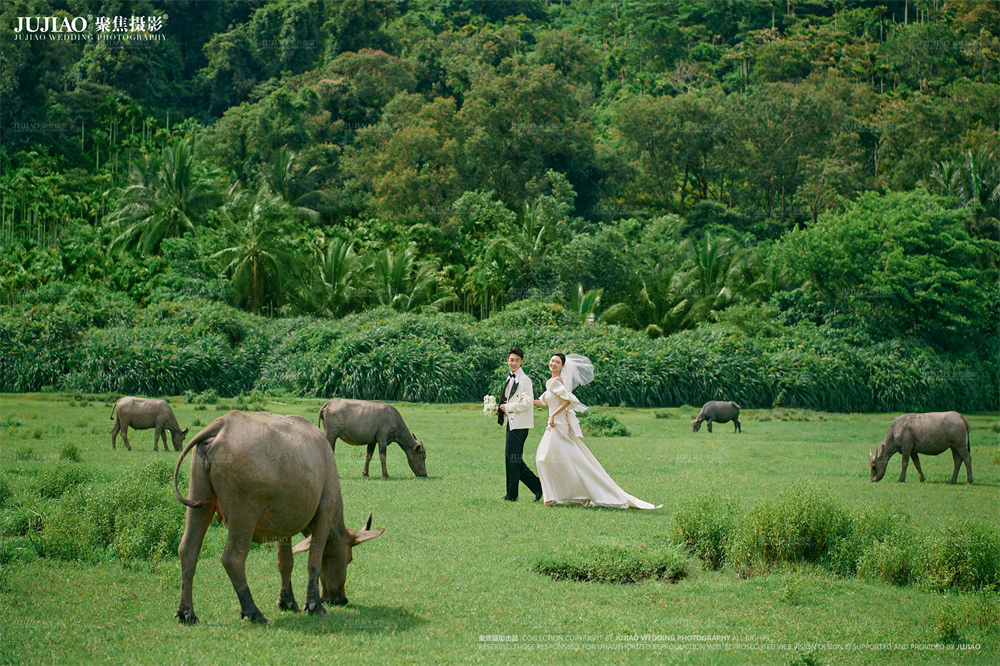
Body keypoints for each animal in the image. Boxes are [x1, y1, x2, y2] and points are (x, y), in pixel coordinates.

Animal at [174, 410, 384, 624]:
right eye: (349, 558)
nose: (340, 599)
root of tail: (222, 425)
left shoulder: (282, 527)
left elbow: (285, 562)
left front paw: (287, 601)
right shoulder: (324, 514)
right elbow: (314, 561)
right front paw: (314, 605)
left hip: (199, 503)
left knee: (188, 550)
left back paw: (186, 612)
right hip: (244, 515)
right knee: (233, 558)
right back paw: (253, 611)